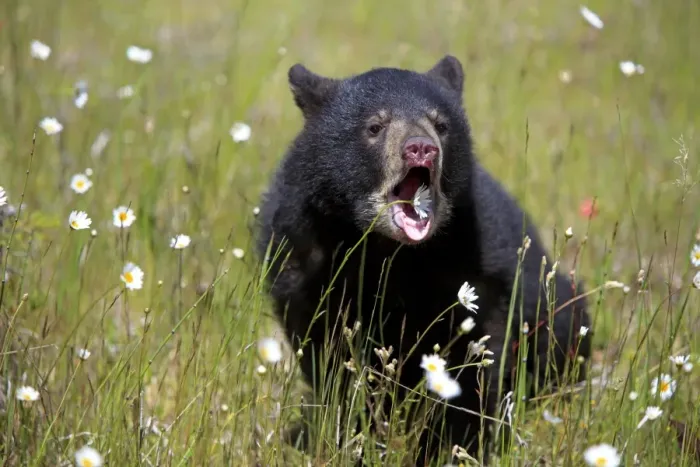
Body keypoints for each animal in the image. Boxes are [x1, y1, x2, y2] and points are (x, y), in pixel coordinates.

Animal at [255, 55, 591, 465]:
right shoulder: (304, 263)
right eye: (375, 126)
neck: (390, 255)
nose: (420, 148)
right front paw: (351, 435)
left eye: (441, 125)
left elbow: (473, 360)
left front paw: (452, 446)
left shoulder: (474, 266)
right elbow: (331, 359)